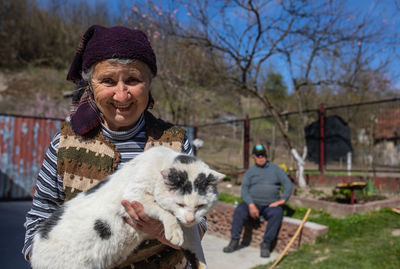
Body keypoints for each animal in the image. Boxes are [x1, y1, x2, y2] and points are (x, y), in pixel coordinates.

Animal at [30, 147, 225, 268]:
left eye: (201, 206)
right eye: (180, 204)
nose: (190, 219)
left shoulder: (189, 228)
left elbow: (196, 250)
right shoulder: (134, 196)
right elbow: (163, 210)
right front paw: (174, 235)